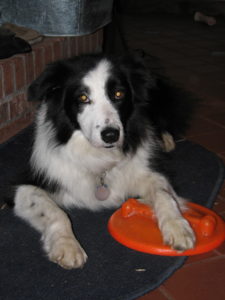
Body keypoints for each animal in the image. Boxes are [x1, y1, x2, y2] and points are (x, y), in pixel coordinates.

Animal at [12, 54, 195, 270]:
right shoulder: (24, 185)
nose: (110, 135)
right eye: (83, 98)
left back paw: (165, 139)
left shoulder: (147, 171)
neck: (97, 156)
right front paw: (67, 246)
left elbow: (164, 195)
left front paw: (178, 227)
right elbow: (55, 212)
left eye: (118, 94)